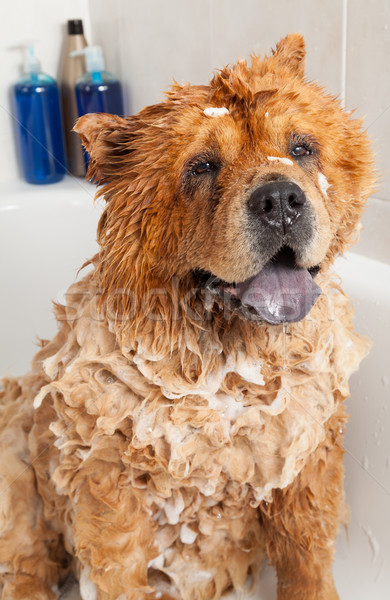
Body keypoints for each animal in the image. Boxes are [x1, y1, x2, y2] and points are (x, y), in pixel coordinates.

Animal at [1, 34, 376, 600]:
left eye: (301, 149)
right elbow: (120, 575)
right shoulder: (110, 491)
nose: (280, 198)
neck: (228, 371)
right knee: (27, 566)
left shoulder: (305, 458)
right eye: (201, 167)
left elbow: (306, 558)